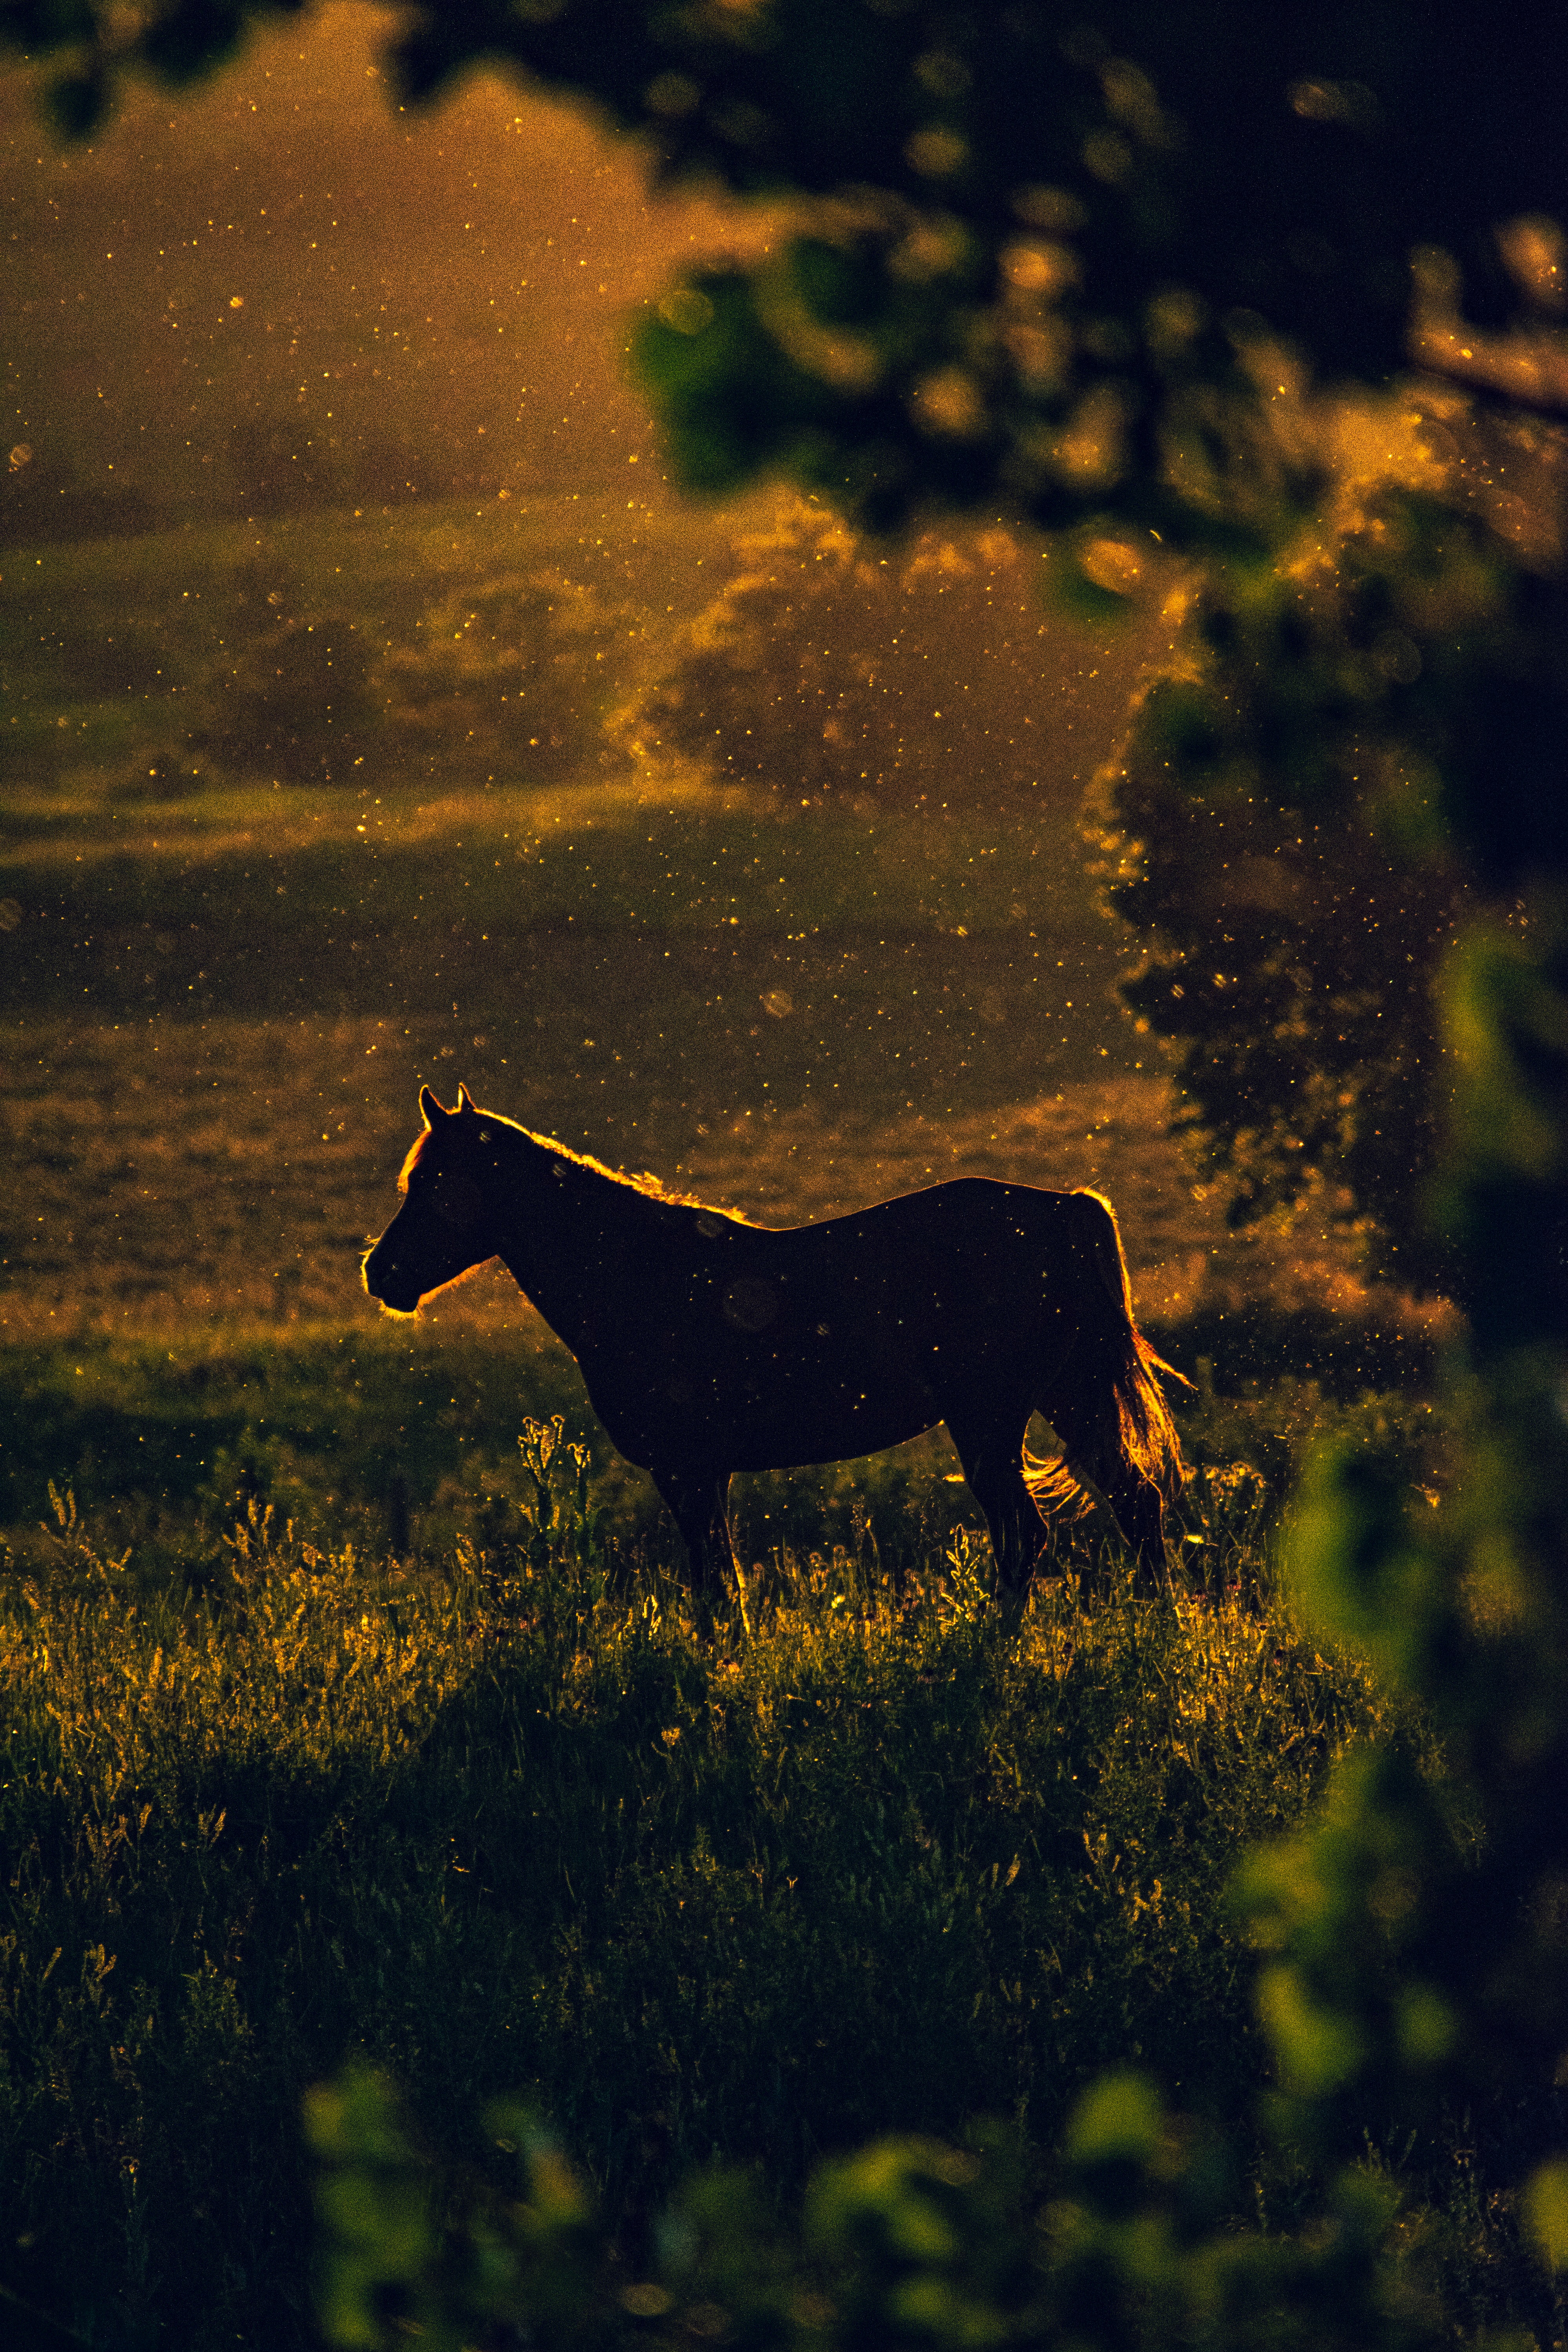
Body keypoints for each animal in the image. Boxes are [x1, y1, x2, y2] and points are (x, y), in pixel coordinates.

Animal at [359, 1082, 1189, 1599]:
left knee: (1026, 1535)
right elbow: (719, 1582)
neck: (641, 1276)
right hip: (1068, 1399)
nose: (381, 1273)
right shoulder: (706, 1474)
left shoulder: (688, 1471)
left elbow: (714, 1586)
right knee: (1136, 1506)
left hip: (990, 1420)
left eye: (433, 1183)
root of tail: (1061, 1210)